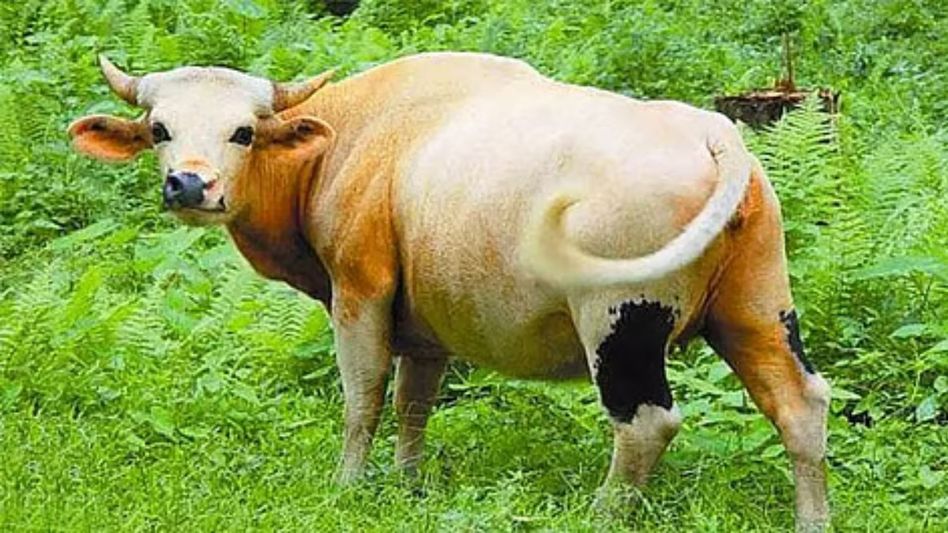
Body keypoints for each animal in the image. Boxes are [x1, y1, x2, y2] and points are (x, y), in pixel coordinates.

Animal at [68, 52, 830, 531]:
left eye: (243, 131)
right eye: (161, 129)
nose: (189, 184)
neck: (355, 137)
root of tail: (708, 131)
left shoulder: (360, 292)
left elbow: (364, 398)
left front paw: (349, 485)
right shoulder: (426, 324)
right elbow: (415, 402)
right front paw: (408, 484)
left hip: (620, 322)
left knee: (645, 422)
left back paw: (603, 513)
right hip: (757, 308)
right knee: (801, 403)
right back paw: (812, 519)